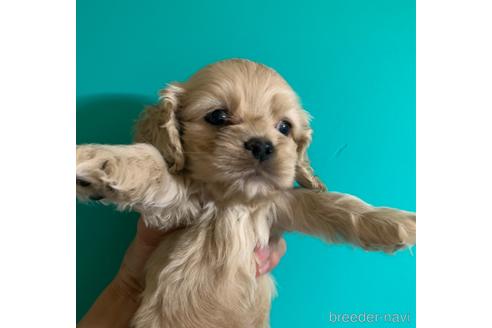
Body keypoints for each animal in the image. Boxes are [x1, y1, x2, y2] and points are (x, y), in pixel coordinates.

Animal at [76, 59, 416, 328]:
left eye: (284, 127)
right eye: (218, 116)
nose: (262, 145)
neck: (232, 202)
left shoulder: (278, 205)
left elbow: (327, 203)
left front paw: (393, 223)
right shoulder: (177, 206)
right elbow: (153, 163)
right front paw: (99, 161)